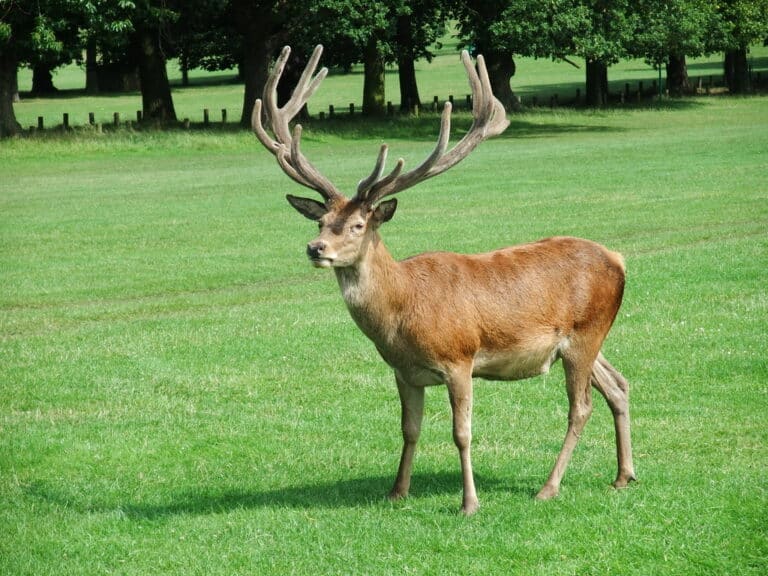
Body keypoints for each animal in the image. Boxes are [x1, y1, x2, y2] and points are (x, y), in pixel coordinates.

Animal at [252, 44, 636, 515]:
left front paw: (469, 503)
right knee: (618, 385)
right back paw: (623, 476)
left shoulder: (459, 358)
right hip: (588, 338)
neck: (401, 314)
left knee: (580, 407)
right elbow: (409, 429)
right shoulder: (402, 371)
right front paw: (397, 491)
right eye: (321, 221)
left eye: (359, 225)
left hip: (585, 333)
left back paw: (549, 486)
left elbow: (461, 432)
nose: (315, 248)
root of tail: (618, 259)